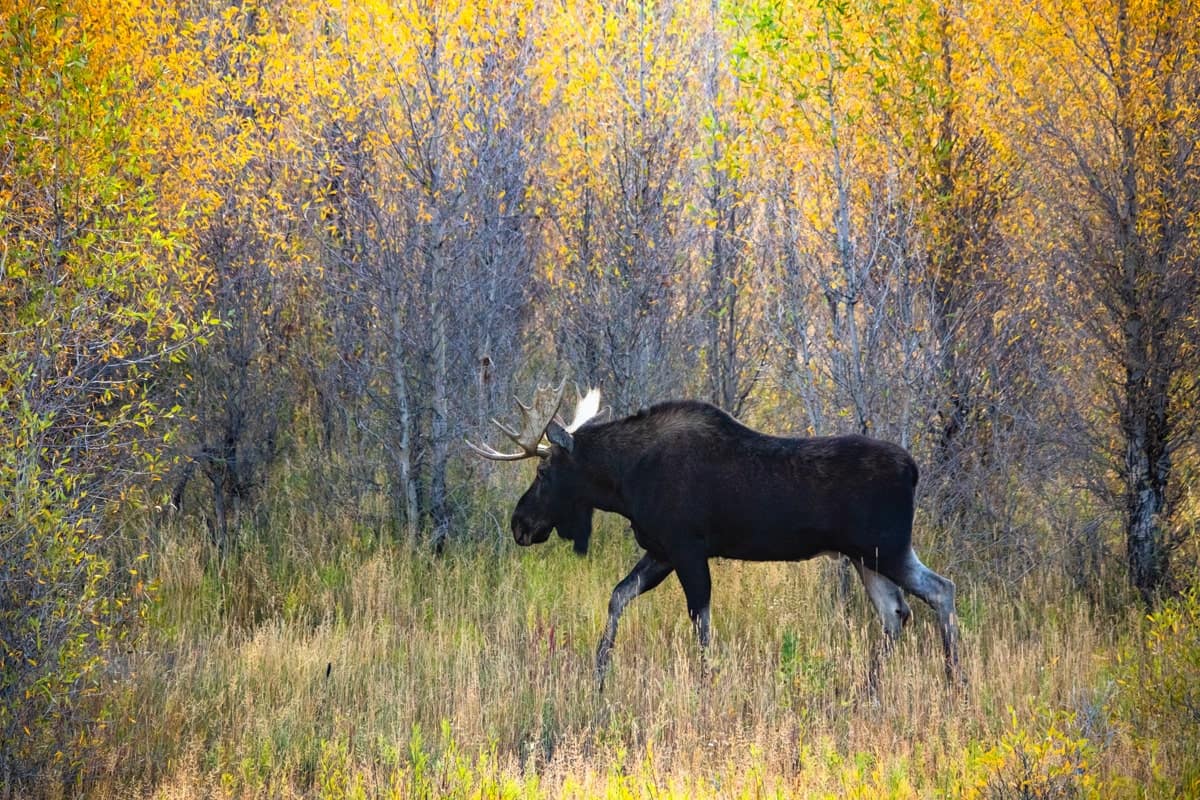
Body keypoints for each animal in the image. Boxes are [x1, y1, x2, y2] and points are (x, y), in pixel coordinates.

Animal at [470, 383, 964, 690]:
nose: (520, 524)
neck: (623, 482)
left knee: (941, 589)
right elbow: (618, 596)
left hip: (887, 548)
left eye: (543, 472)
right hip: (866, 556)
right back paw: (871, 690)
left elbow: (701, 624)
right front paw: (599, 675)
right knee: (896, 613)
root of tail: (913, 470)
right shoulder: (661, 550)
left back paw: (953, 683)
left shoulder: (687, 548)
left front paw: (708, 684)